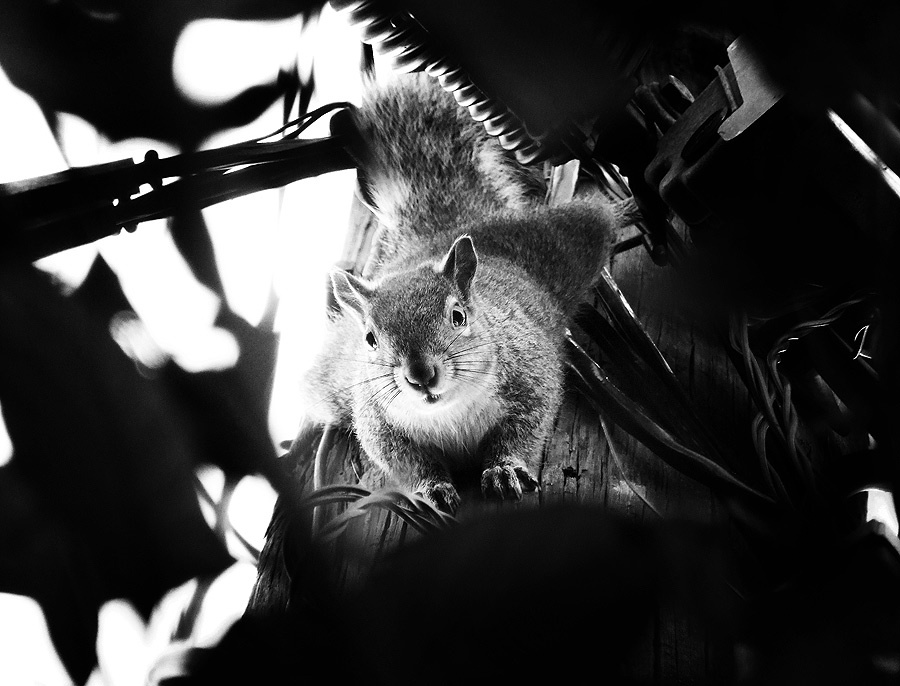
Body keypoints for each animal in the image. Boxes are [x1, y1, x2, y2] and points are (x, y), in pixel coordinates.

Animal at [303, 73, 628, 513]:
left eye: (458, 316)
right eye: (370, 339)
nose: (420, 376)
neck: (449, 410)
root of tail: (443, 231)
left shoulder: (531, 377)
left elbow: (523, 432)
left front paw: (505, 469)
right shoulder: (378, 422)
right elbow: (406, 461)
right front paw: (429, 488)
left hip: (567, 243)